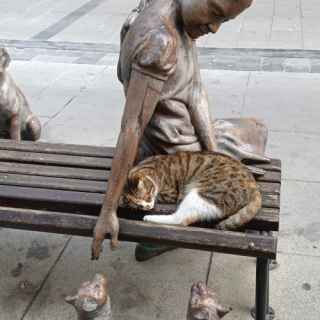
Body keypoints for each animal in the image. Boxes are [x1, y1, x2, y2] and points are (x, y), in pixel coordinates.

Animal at [124, 152, 262, 230]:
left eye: (148, 196)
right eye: (138, 205)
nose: (147, 207)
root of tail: (254, 187)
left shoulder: (170, 193)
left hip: (203, 194)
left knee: (181, 219)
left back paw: (149, 218)